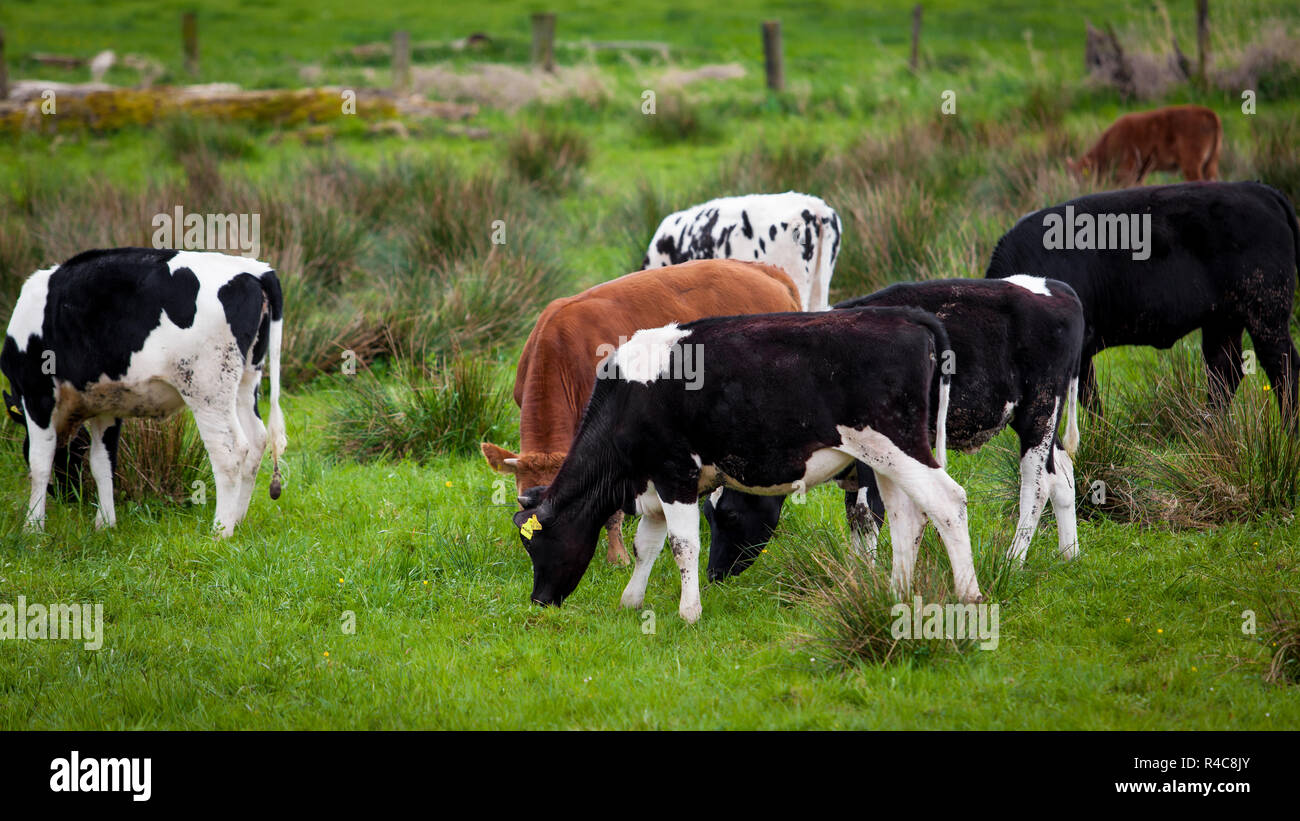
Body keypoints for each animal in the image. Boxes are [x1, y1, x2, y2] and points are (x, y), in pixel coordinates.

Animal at [2, 247, 287, 536]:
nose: (68, 496)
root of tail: (255, 269)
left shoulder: (37, 393)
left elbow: (39, 462)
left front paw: (32, 528)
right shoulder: (106, 404)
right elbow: (103, 463)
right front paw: (105, 524)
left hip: (207, 389)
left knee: (230, 452)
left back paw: (220, 531)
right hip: (245, 380)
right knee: (256, 441)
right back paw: (237, 521)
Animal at [512, 306, 984, 623]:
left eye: (537, 544)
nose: (538, 601)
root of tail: (904, 317)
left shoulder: (675, 473)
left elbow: (683, 545)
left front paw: (689, 611)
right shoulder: (655, 483)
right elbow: (647, 544)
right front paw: (633, 600)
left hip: (897, 445)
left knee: (948, 503)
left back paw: (969, 596)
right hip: (883, 460)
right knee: (907, 517)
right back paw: (895, 594)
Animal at [705, 277, 1085, 581]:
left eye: (730, 514)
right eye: (707, 515)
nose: (713, 574)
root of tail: (1055, 288)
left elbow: (865, 512)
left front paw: (867, 578)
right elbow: (856, 514)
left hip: (1040, 407)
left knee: (1036, 483)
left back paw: (1013, 560)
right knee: (1062, 474)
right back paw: (1069, 555)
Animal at [986, 181, 1300, 418]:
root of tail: (1258, 189)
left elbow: (1087, 401)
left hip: (1266, 316)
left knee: (1283, 369)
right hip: (1223, 321)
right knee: (1225, 372)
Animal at [1066, 105, 1221, 186]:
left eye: (1080, 176)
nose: (1076, 189)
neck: (1108, 143)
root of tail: (1208, 113)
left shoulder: (1127, 168)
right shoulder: (1141, 173)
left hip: (1191, 165)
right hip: (1211, 164)